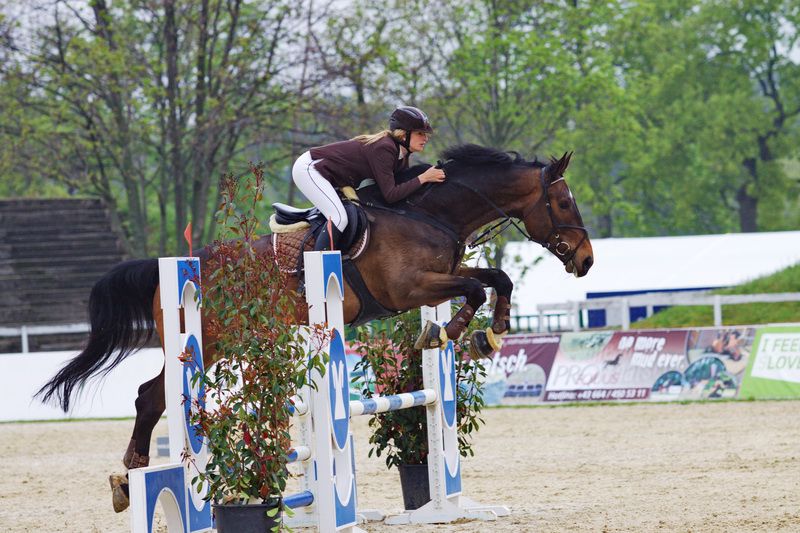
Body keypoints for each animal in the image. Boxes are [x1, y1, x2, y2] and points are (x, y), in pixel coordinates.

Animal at [36, 142, 592, 512]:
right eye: (564, 203)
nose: (585, 260)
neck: (427, 214)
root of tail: (175, 267)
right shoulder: (409, 289)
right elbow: (475, 288)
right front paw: (448, 332)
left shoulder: (439, 277)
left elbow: (496, 278)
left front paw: (490, 332)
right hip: (209, 340)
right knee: (154, 397)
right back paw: (135, 479)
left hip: (223, 343)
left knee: (150, 396)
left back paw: (129, 479)